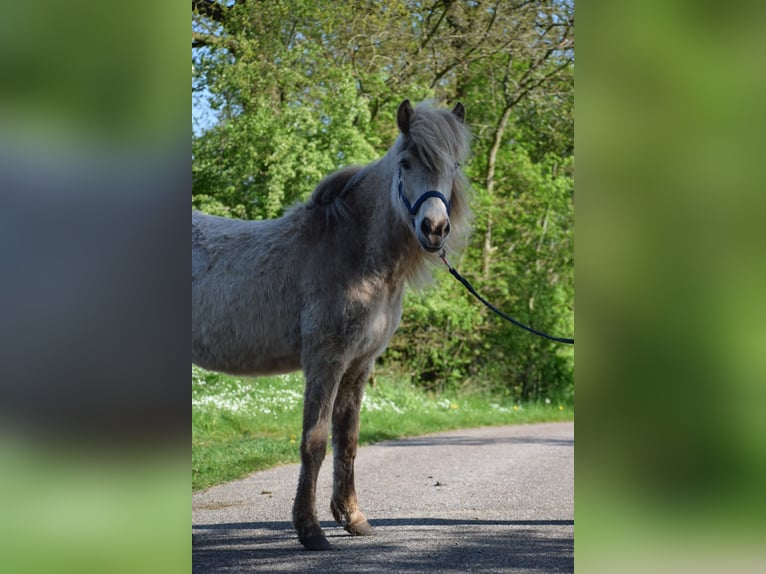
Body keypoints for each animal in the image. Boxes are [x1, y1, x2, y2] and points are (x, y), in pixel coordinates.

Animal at [192, 100, 474, 552]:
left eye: (454, 165)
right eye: (406, 163)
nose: (434, 228)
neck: (353, 253)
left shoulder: (359, 365)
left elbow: (349, 440)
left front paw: (353, 517)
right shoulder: (326, 361)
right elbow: (315, 441)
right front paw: (310, 530)